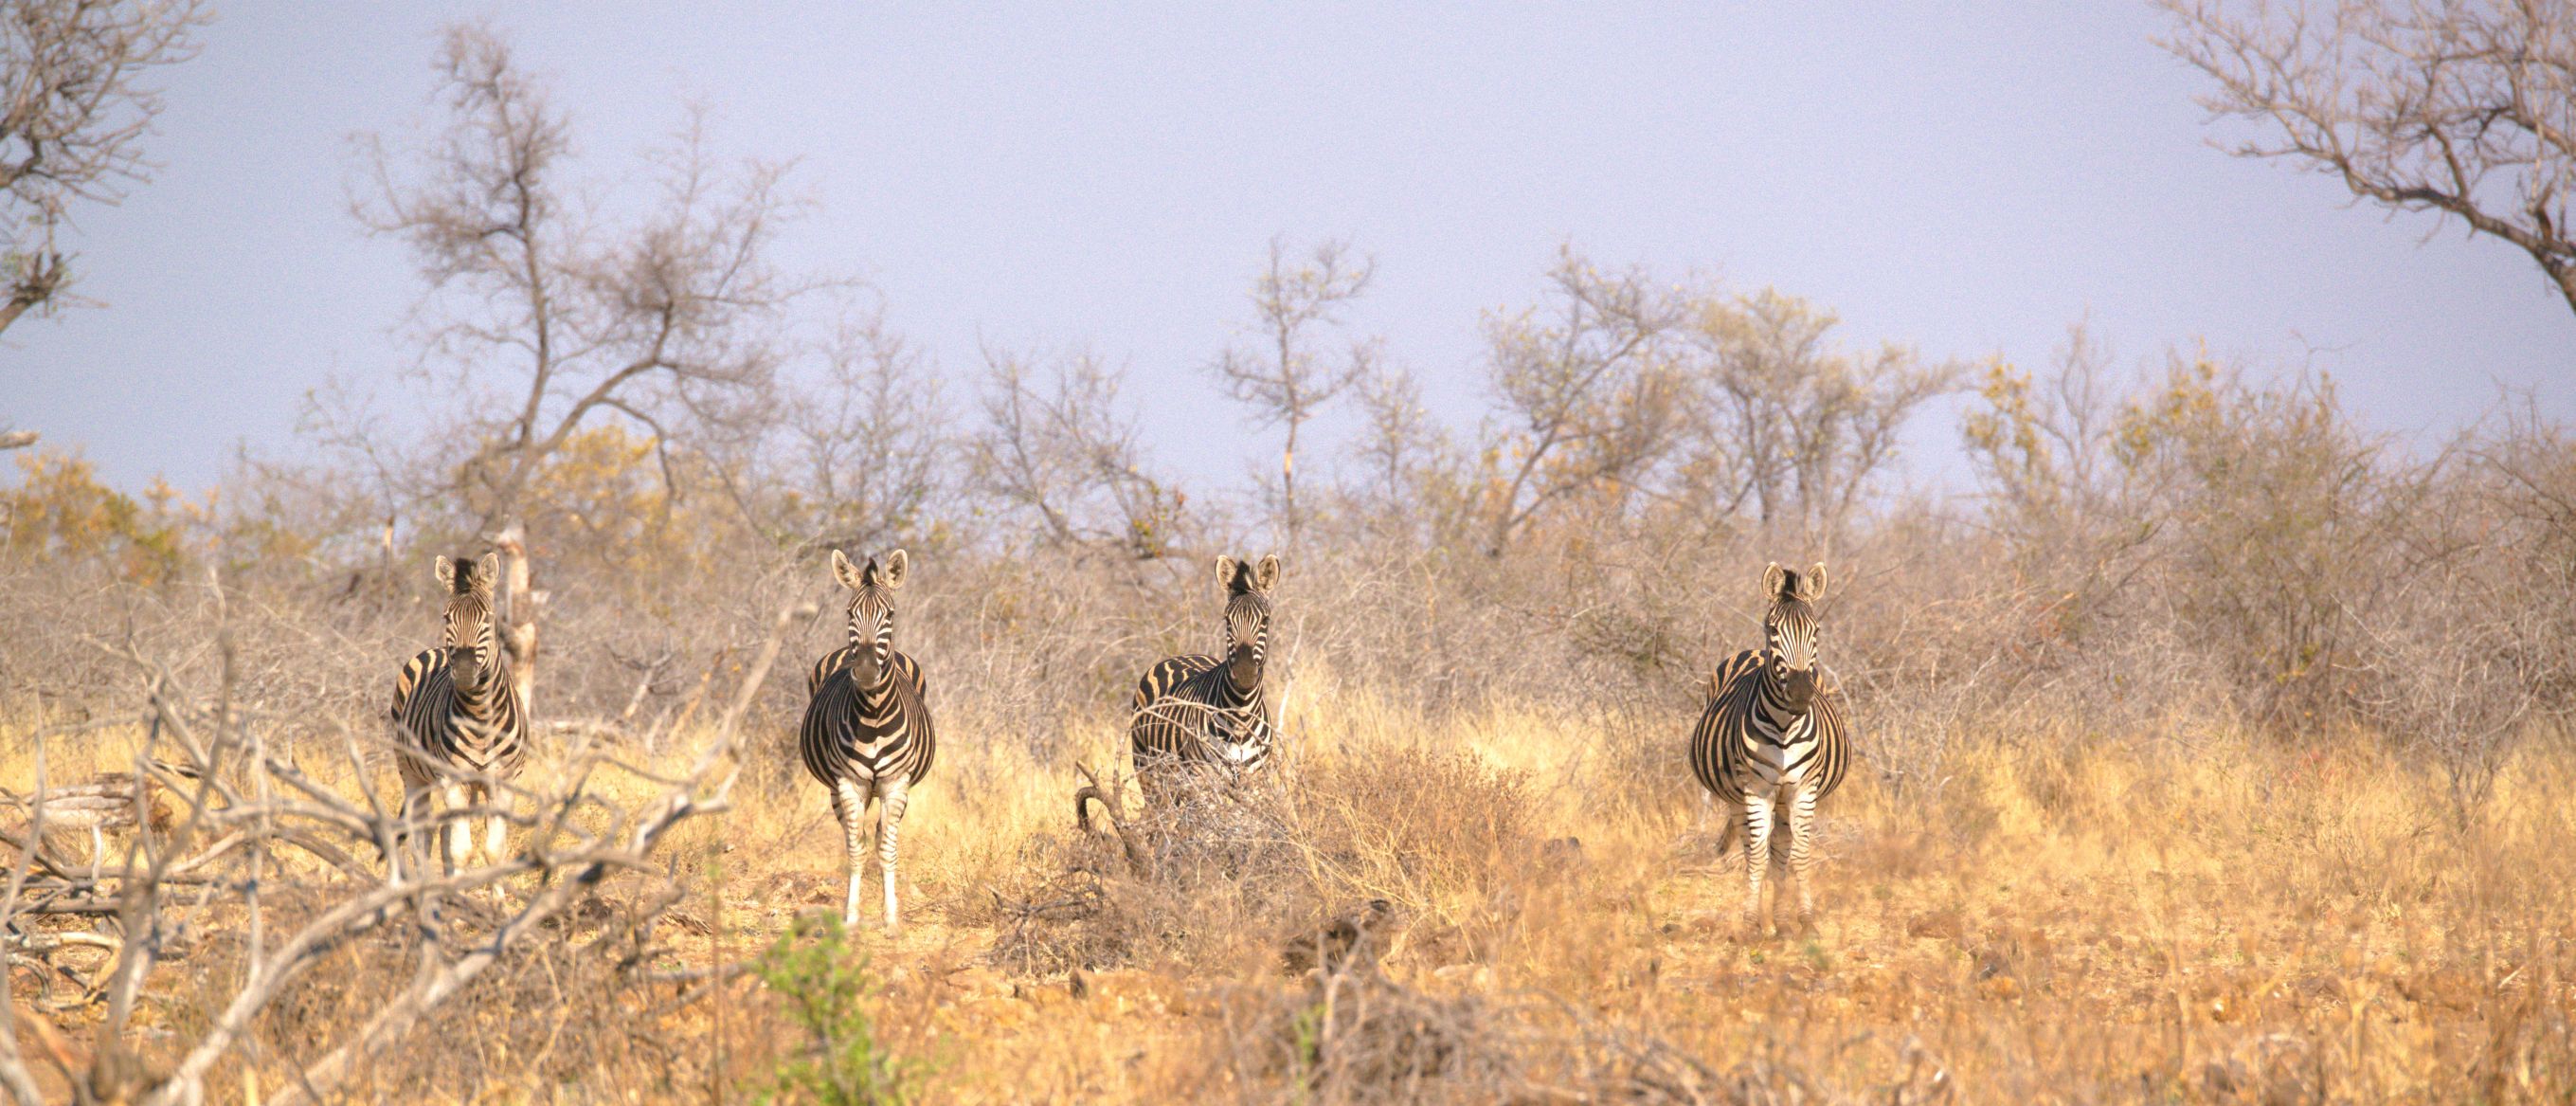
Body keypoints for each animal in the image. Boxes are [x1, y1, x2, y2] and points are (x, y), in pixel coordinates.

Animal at [388, 552, 529, 880]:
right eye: (446, 617)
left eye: (488, 618)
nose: (465, 672)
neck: (479, 715)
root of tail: (435, 650)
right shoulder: (452, 780)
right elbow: (462, 852)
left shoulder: (503, 782)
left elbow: (494, 852)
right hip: (411, 773)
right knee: (420, 835)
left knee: (440, 832)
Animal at [800, 548, 935, 932]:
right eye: (850, 613)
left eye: (890, 614)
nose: (864, 671)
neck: (873, 714)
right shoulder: (849, 783)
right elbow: (855, 848)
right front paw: (851, 916)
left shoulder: (896, 782)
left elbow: (887, 848)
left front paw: (891, 919)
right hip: (835, 788)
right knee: (855, 836)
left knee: (880, 835)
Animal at [1130, 553, 1281, 796]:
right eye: (1227, 620)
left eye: (1265, 620)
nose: (1245, 674)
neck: (1241, 716)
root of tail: (1178, 656)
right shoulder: (1204, 780)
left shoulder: (1254, 781)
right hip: (1148, 771)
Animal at [1687, 561, 1852, 937]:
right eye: (1774, 630)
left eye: (1816, 630)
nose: (1801, 694)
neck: (1783, 725)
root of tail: (1752, 650)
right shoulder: (1756, 788)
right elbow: (1757, 856)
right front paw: (1751, 922)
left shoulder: (1805, 789)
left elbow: (1799, 855)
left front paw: (1806, 921)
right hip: (1738, 796)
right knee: (1754, 847)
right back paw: (1768, 917)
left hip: (1785, 796)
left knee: (1781, 845)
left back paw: (1782, 920)